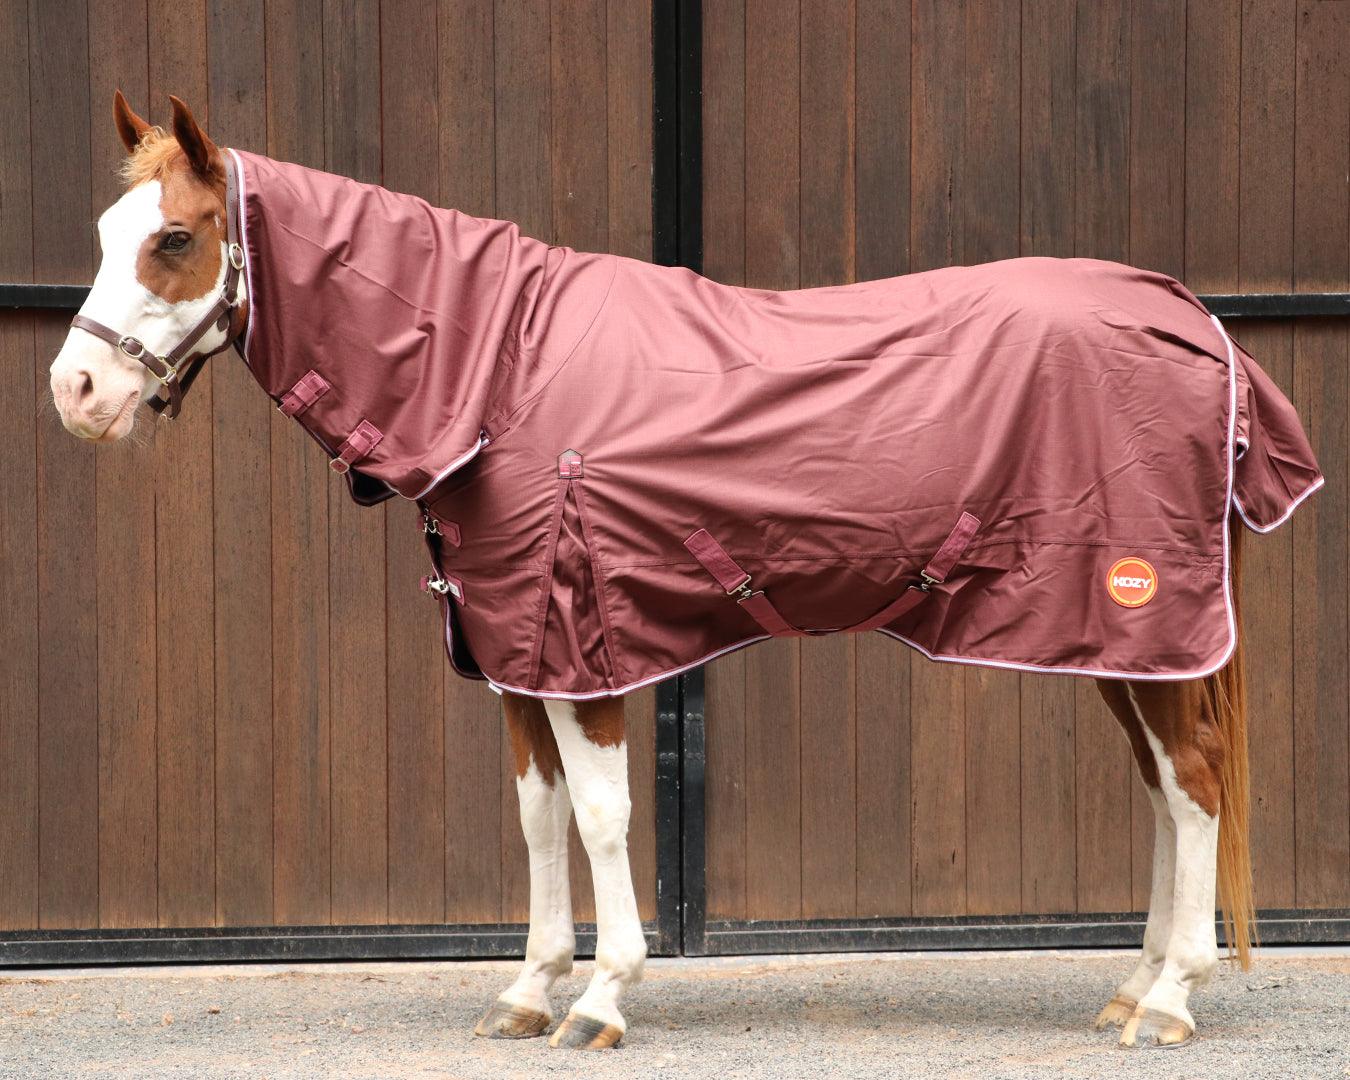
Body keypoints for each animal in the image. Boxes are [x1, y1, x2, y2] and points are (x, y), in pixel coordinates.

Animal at [47, 93, 1323, 1052]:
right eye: (107, 233)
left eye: (174, 238)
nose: (76, 393)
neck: (501, 370)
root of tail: (1197, 325)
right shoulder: (516, 653)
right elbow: (538, 812)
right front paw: (528, 991)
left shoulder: (587, 645)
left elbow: (604, 813)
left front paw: (604, 999)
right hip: (1119, 645)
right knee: (1166, 790)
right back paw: (1135, 984)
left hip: (1147, 625)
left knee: (1195, 784)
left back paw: (1170, 999)